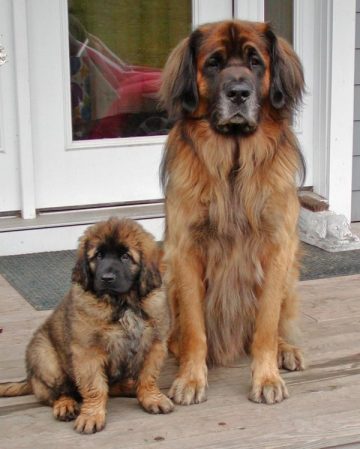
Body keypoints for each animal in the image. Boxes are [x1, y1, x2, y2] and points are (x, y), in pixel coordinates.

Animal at [0, 219, 174, 432]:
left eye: (125, 257)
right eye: (98, 256)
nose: (106, 278)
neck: (123, 303)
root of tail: (31, 380)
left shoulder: (154, 344)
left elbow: (148, 376)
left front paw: (151, 398)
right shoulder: (88, 351)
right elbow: (95, 387)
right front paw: (91, 416)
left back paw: (128, 387)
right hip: (45, 357)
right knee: (60, 392)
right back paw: (65, 405)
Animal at [162, 20, 306, 406]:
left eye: (256, 62)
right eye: (213, 63)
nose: (238, 93)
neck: (234, 166)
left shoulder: (277, 249)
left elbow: (266, 324)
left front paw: (266, 377)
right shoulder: (185, 251)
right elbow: (195, 328)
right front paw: (191, 378)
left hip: (290, 273)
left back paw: (287, 350)